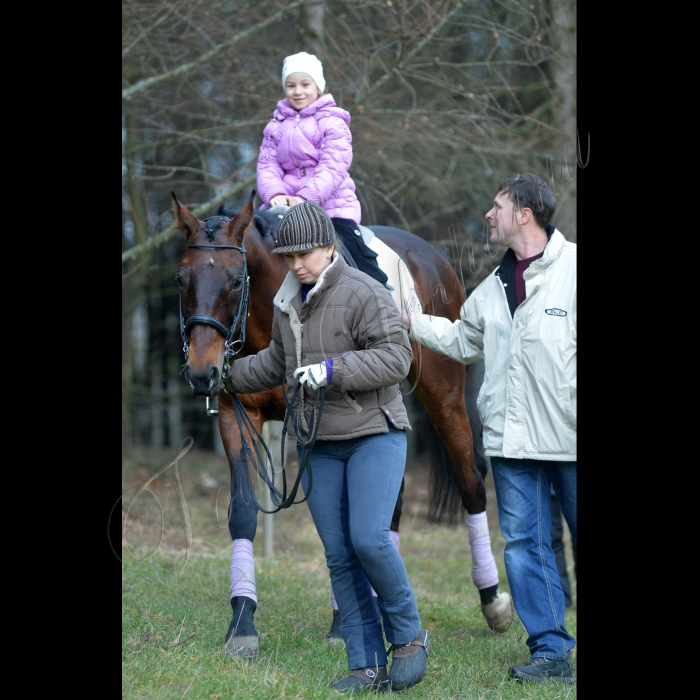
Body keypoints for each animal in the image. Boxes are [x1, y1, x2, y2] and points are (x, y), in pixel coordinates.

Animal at [172, 190, 516, 656]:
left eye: (235, 280)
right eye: (181, 279)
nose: (201, 372)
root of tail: (433, 258)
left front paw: (342, 622)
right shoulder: (235, 416)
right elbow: (243, 512)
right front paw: (242, 621)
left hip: (443, 395)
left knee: (470, 478)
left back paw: (492, 599)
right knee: (390, 505)